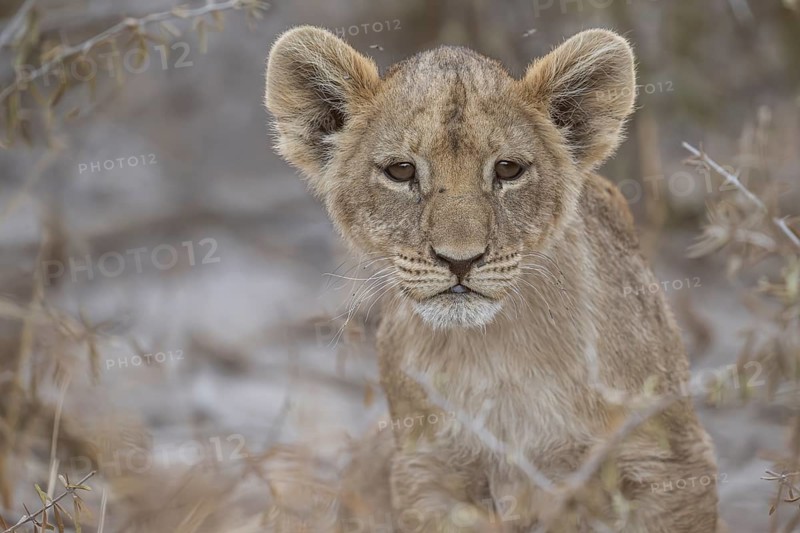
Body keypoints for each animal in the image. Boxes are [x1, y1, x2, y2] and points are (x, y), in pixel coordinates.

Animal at [264, 26, 721, 532]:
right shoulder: (427, 471)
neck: (494, 352)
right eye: (401, 171)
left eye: (508, 169)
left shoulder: (671, 460)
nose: (459, 260)